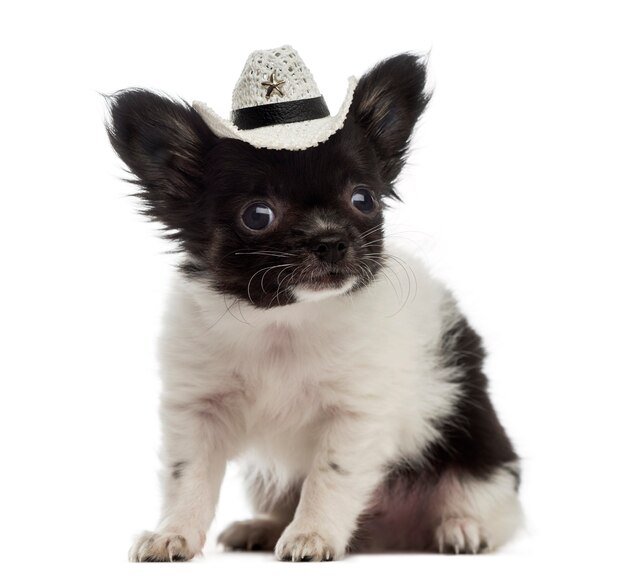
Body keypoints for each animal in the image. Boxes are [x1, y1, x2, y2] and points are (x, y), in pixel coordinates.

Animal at [107, 52, 520, 560]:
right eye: (257, 215)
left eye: (363, 199)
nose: (331, 240)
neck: (286, 319)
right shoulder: (197, 409)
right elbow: (188, 479)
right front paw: (173, 533)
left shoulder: (355, 415)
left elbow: (330, 477)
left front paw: (313, 534)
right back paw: (261, 528)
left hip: (478, 455)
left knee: (482, 500)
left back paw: (462, 528)